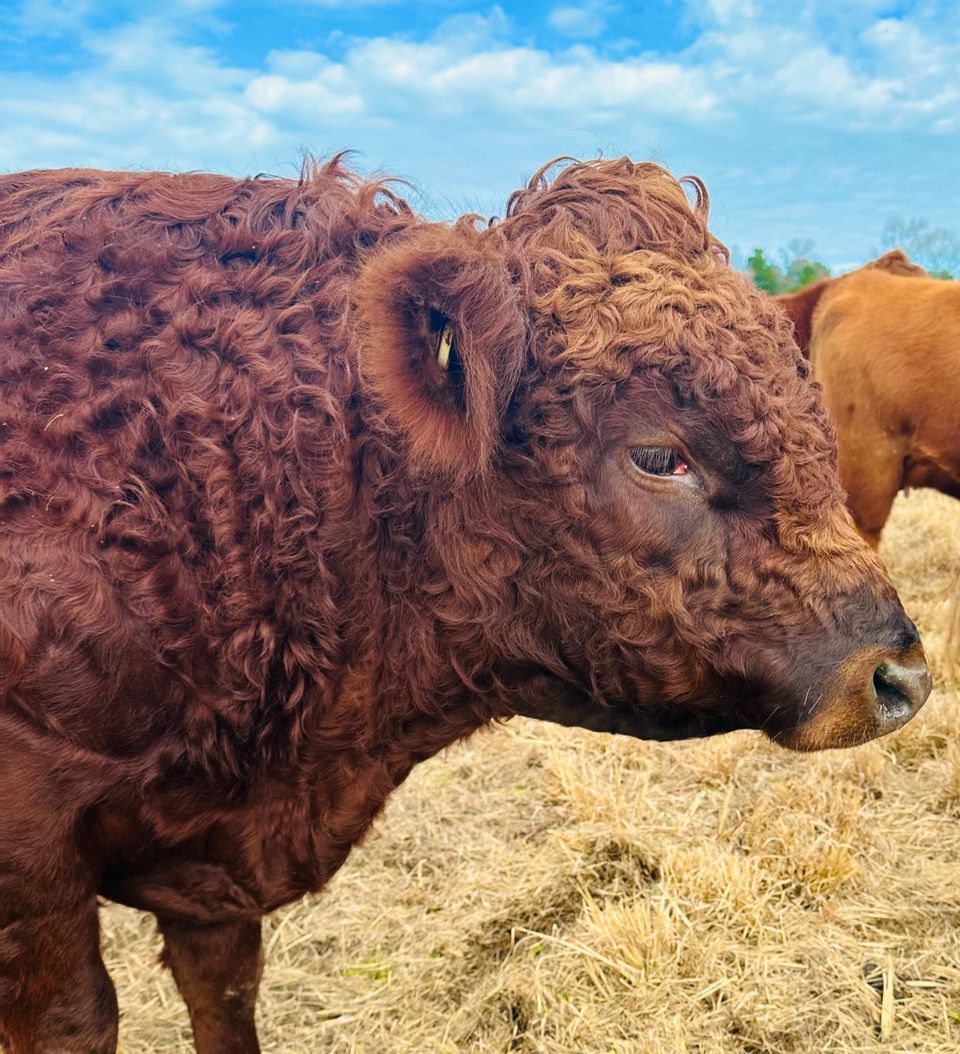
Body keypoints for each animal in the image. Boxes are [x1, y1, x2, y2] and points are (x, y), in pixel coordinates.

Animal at [0, 157, 930, 1053]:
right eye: (659, 454)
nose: (898, 677)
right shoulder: (37, 865)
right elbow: (77, 1019)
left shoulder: (212, 868)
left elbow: (223, 992)